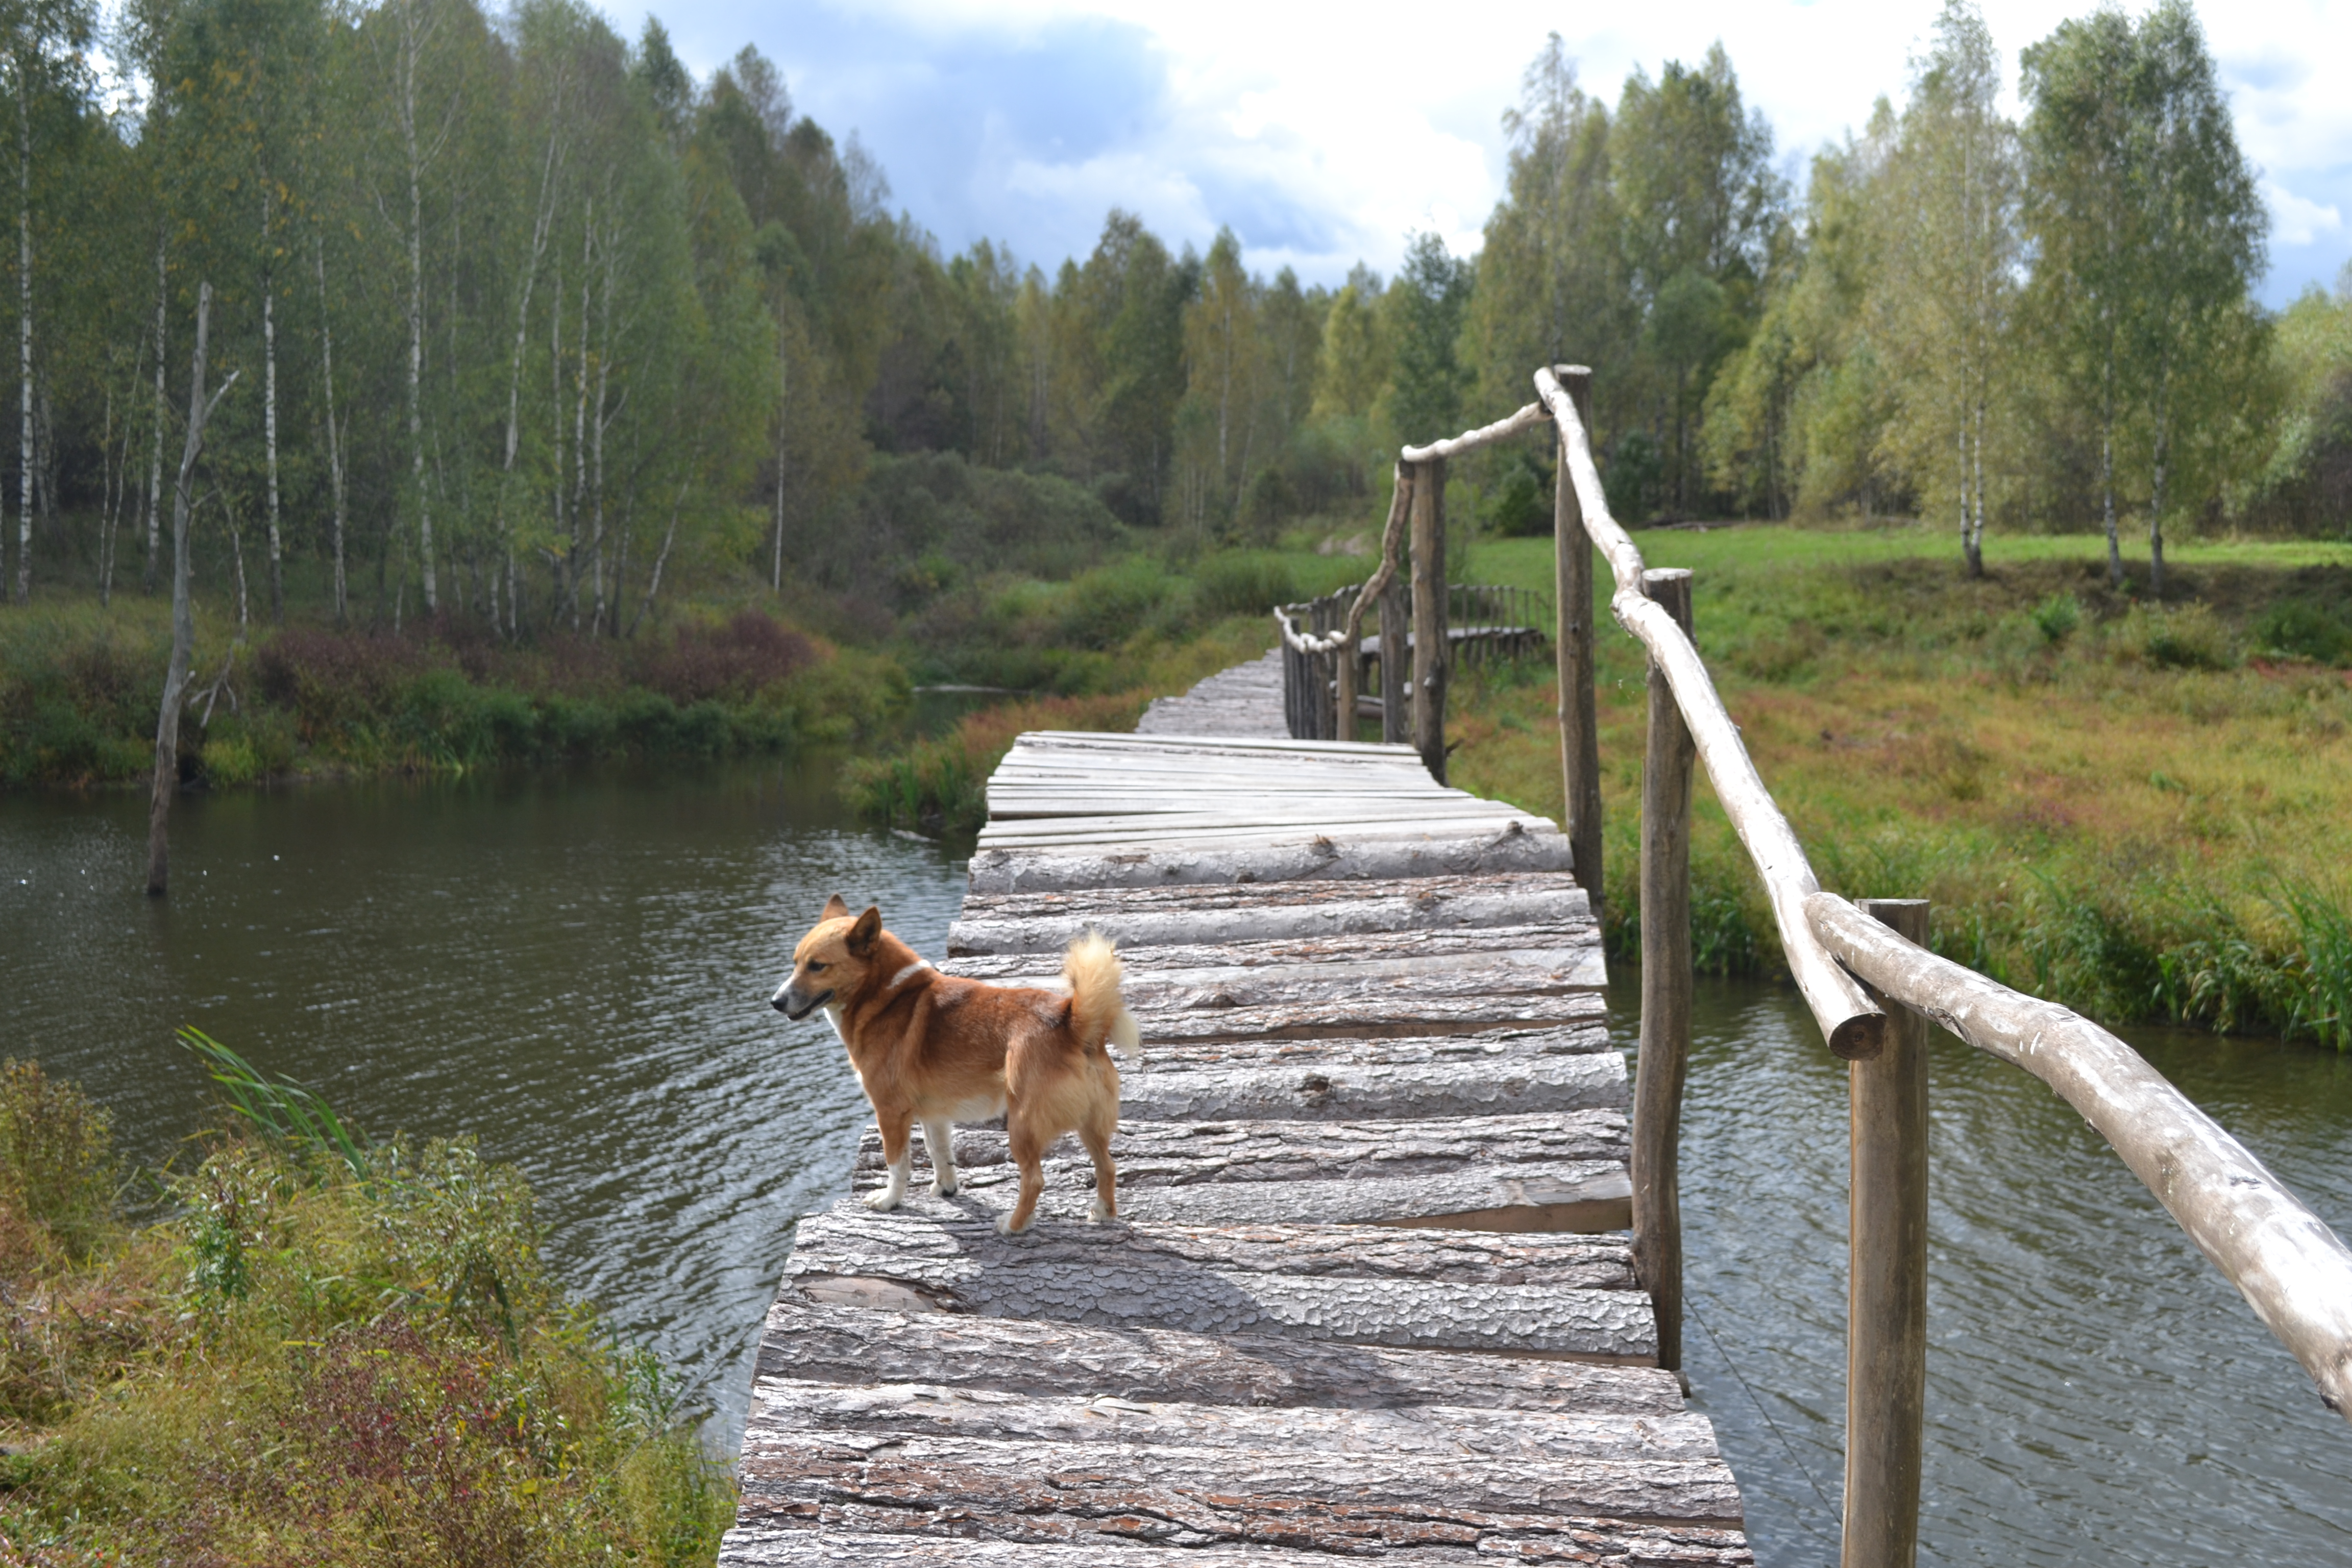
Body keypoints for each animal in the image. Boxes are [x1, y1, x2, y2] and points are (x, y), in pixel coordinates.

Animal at [771, 902, 1138, 1232]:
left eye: (817, 966)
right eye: (795, 963)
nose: (775, 1002)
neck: (887, 997)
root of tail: (1072, 1021)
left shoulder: (890, 1113)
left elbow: (897, 1165)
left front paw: (890, 1201)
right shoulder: (934, 1114)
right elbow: (939, 1153)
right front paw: (946, 1189)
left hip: (1022, 1126)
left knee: (1034, 1180)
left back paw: (1014, 1225)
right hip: (1091, 1125)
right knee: (1108, 1167)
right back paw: (1103, 1213)